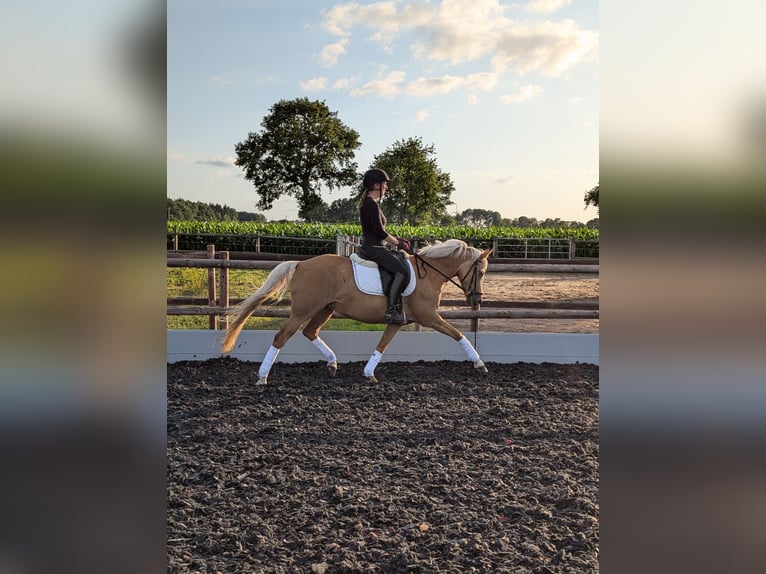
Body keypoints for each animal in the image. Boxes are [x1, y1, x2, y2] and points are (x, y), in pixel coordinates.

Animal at [221, 239, 492, 384]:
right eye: (480, 271)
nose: (476, 299)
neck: (429, 274)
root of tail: (300, 264)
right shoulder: (428, 317)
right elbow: (458, 334)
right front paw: (480, 364)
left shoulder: (397, 321)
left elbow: (382, 345)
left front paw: (369, 373)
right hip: (303, 311)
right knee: (281, 337)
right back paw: (262, 377)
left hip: (325, 310)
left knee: (310, 332)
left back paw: (332, 363)